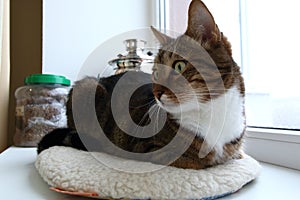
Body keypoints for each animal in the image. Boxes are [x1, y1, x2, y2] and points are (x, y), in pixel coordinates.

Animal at [37, 0, 245, 170]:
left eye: (179, 66)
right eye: (156, 72)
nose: (157, 94)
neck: (213, 111)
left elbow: (234, 154)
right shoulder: (150, 149)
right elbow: (199, 161)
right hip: (86, 87)